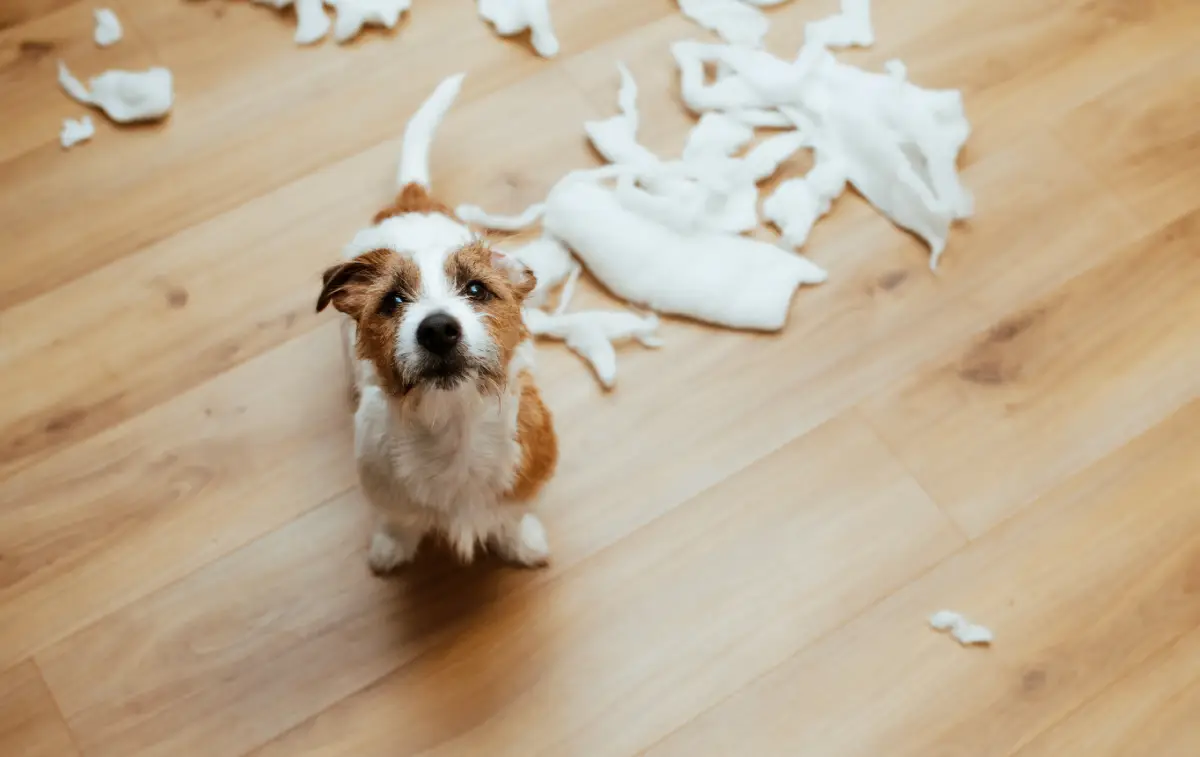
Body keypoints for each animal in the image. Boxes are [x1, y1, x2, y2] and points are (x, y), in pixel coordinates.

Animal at [314, 75, 556, 573]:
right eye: (392, 301)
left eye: (477, 290)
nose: (438, 329)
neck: (453, 429)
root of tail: (411, 200)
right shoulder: (386, 492)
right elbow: (399, 522)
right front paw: (390, 550)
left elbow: (512, 514)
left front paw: (522, 542)